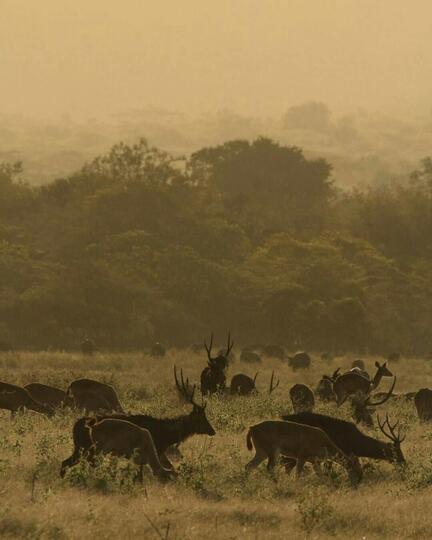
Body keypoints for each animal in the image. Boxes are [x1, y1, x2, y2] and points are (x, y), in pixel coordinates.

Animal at [60, 368, 215, 476]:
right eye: (202, 417)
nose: (212, 431)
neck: (164, 434)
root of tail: (75, 426)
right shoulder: (155, 449)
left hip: (80, 447)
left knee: (66, 462)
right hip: (88, 447)